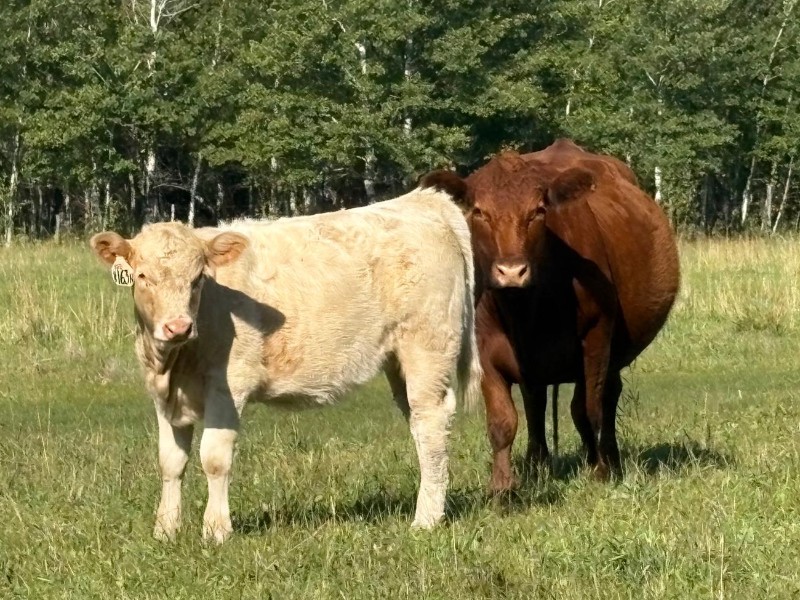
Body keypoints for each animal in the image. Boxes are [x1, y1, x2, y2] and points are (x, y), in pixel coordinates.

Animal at [89, 188, 481, 543]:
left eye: (198, 278)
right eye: (142, 277)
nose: (177, 326)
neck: (175, 363)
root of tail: (423, 199)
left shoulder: (228, 385)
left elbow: (214, 457)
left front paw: (216, 531)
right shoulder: (164, 396)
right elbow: (170, 461)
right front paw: (165, 531)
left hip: (427, 347)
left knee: (431, 422)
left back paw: (426, 520)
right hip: (399, 360)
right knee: (417, 421)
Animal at [420, 139, 680, 492]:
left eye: (538, 211)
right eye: (479, 212)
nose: (511, 271)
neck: (524, 311)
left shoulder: (596, 338)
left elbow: (588, 410)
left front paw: (599, 472)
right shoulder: (485, 350)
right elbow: (502, 421)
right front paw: (502, 488)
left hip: (612, 353)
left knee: (605, 398)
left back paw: (607, 460)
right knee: (535, 404)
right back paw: (537, 464)